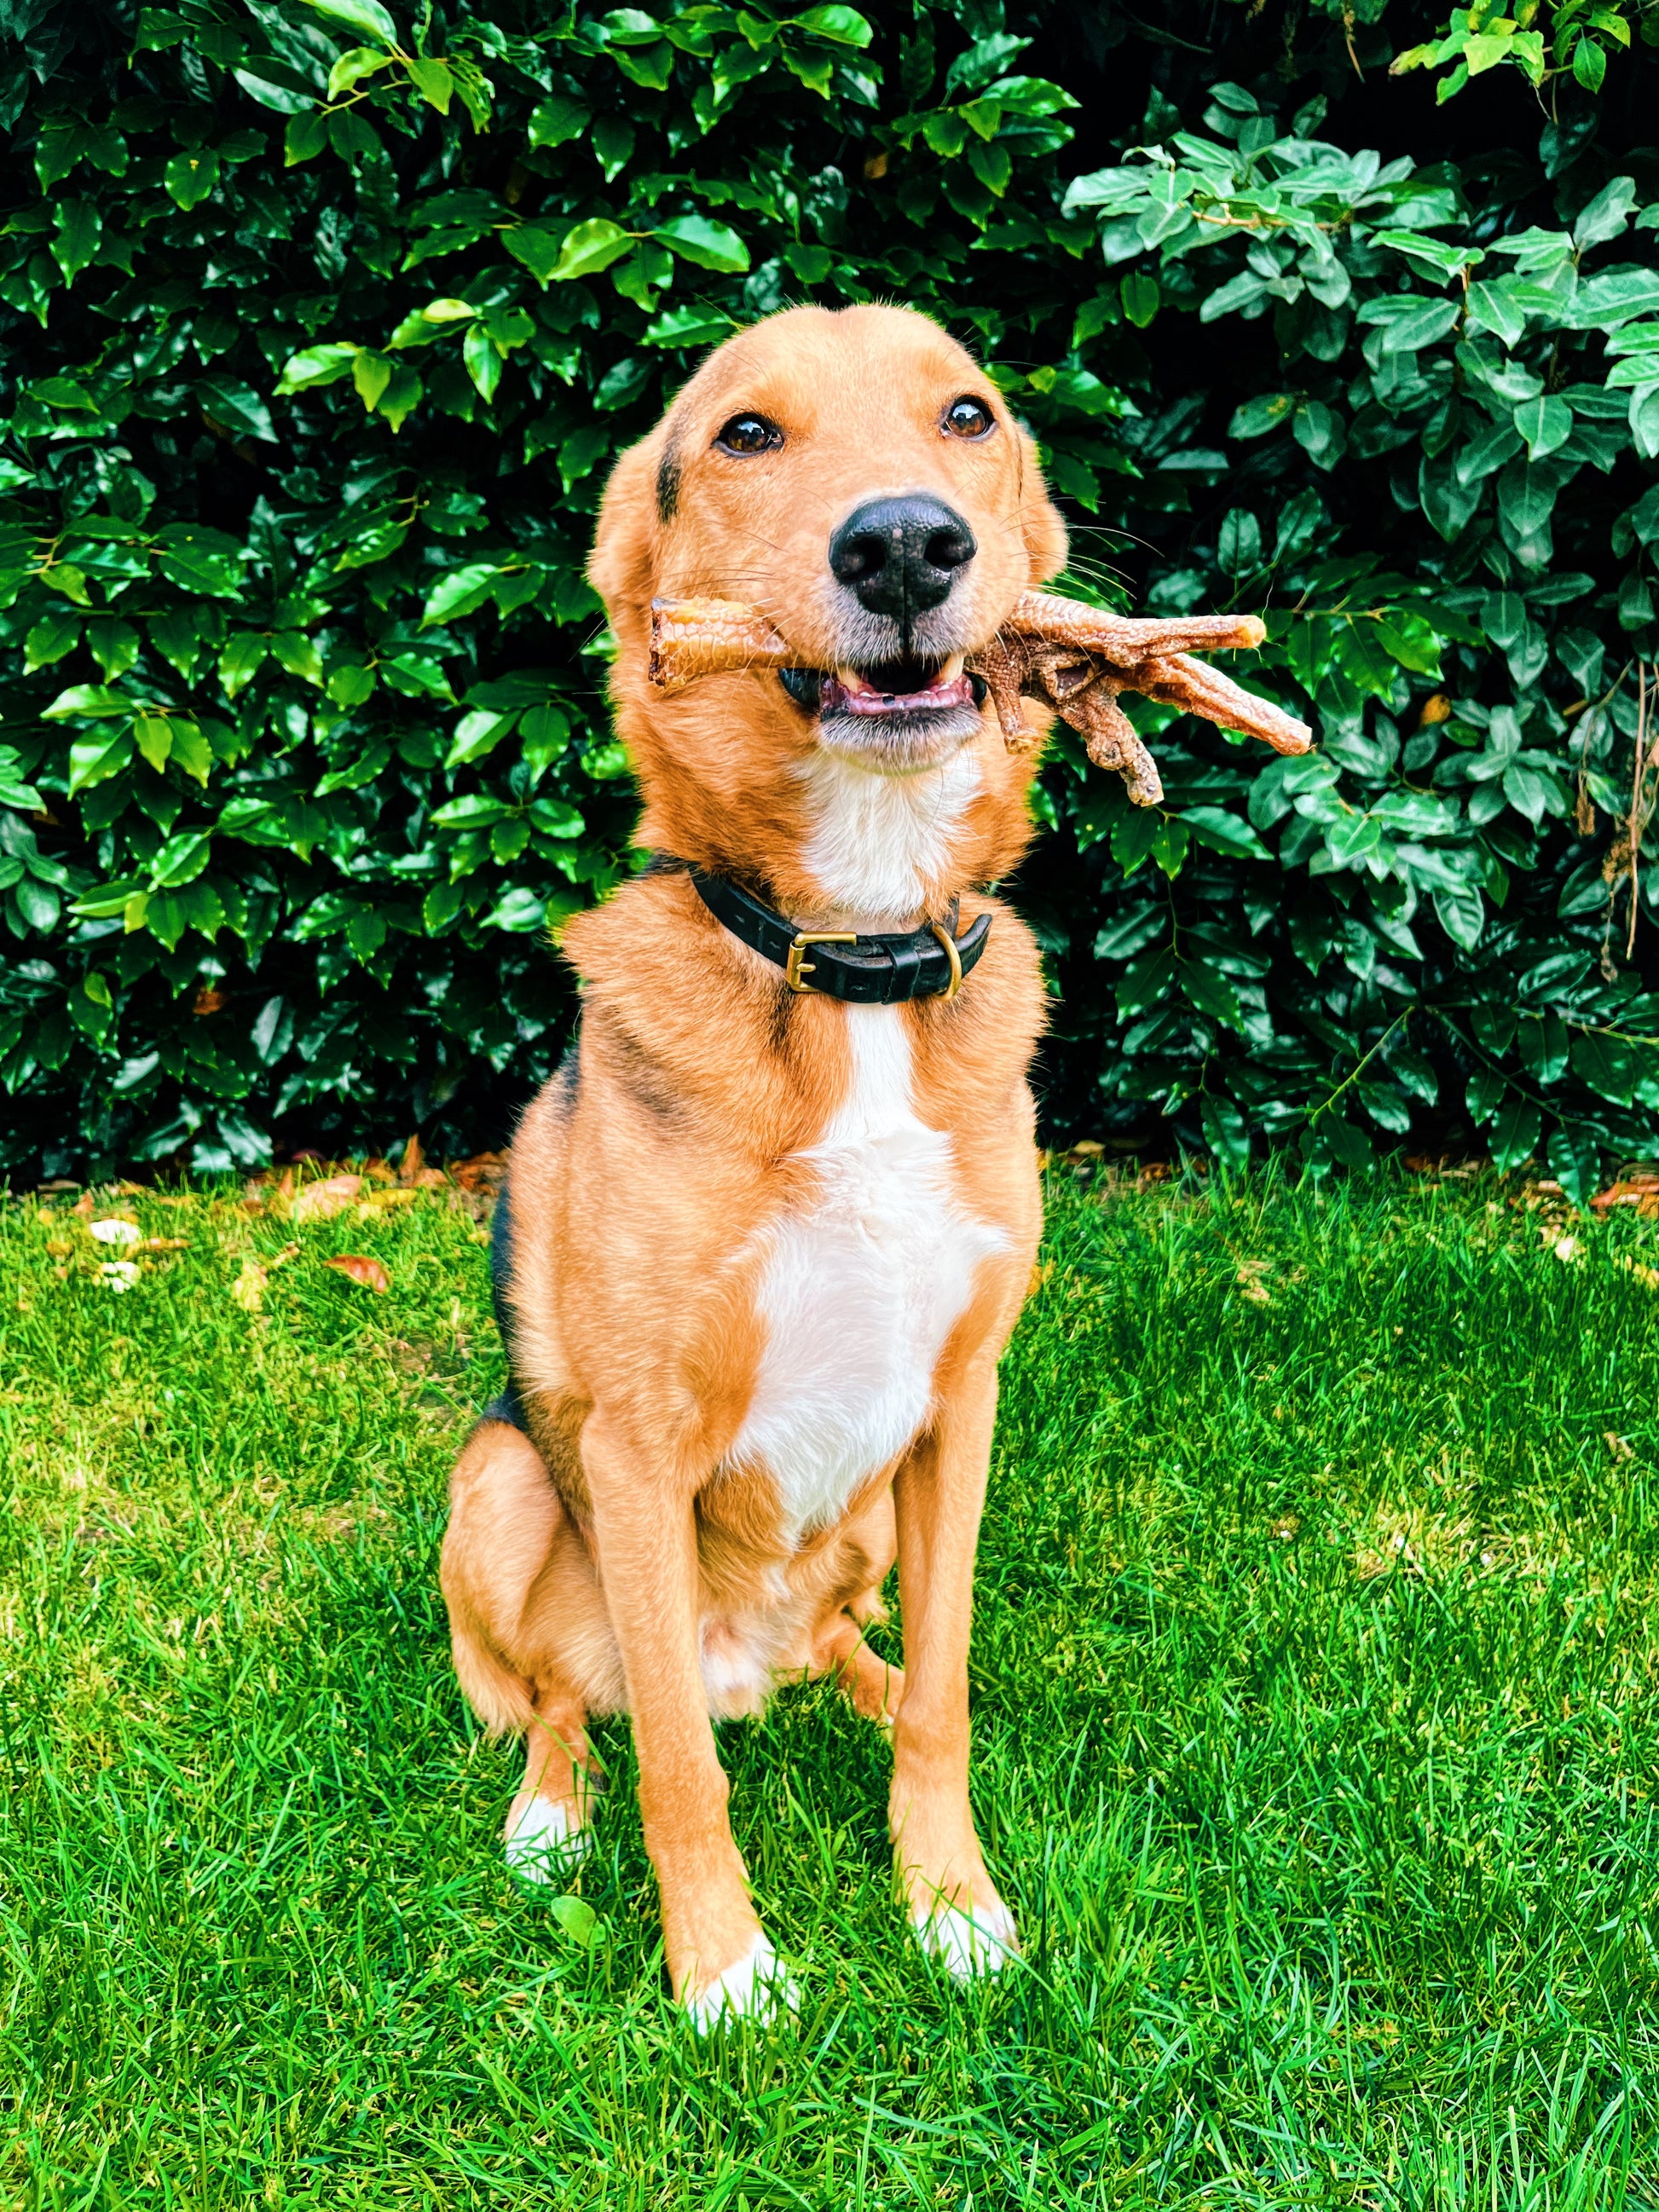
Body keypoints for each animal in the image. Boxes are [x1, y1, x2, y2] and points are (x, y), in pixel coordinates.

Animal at [442, 307, 1066, 2026]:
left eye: (967, 415)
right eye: (743, 435)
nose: (908, 543)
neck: (852, 960)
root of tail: (757, 1662)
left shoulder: (964, 1400)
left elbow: (942, 1697)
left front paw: (951, 1903)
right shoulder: (635, 1444)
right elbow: (670, 1763)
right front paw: (722, 1968)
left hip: (859, 1529)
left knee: (864, 1656)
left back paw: (851, 1680)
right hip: (499, 1480)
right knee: (569, 1700)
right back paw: (546, 1814)